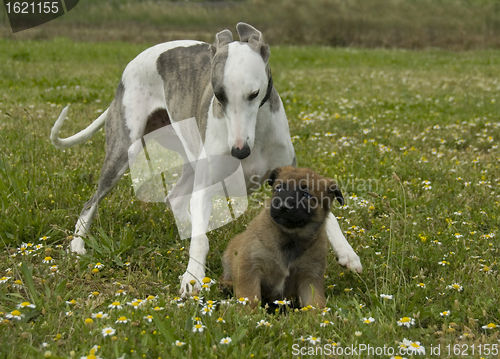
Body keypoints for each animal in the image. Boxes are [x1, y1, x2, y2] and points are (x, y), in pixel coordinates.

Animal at [222, 167, 344, 310]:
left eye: (306, 195)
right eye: (279, 188)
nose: (283, 206)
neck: (291, 237)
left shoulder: (310, 276)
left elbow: (315, 303)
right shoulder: (249, 265)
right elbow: (250, 296)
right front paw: (248, 313)